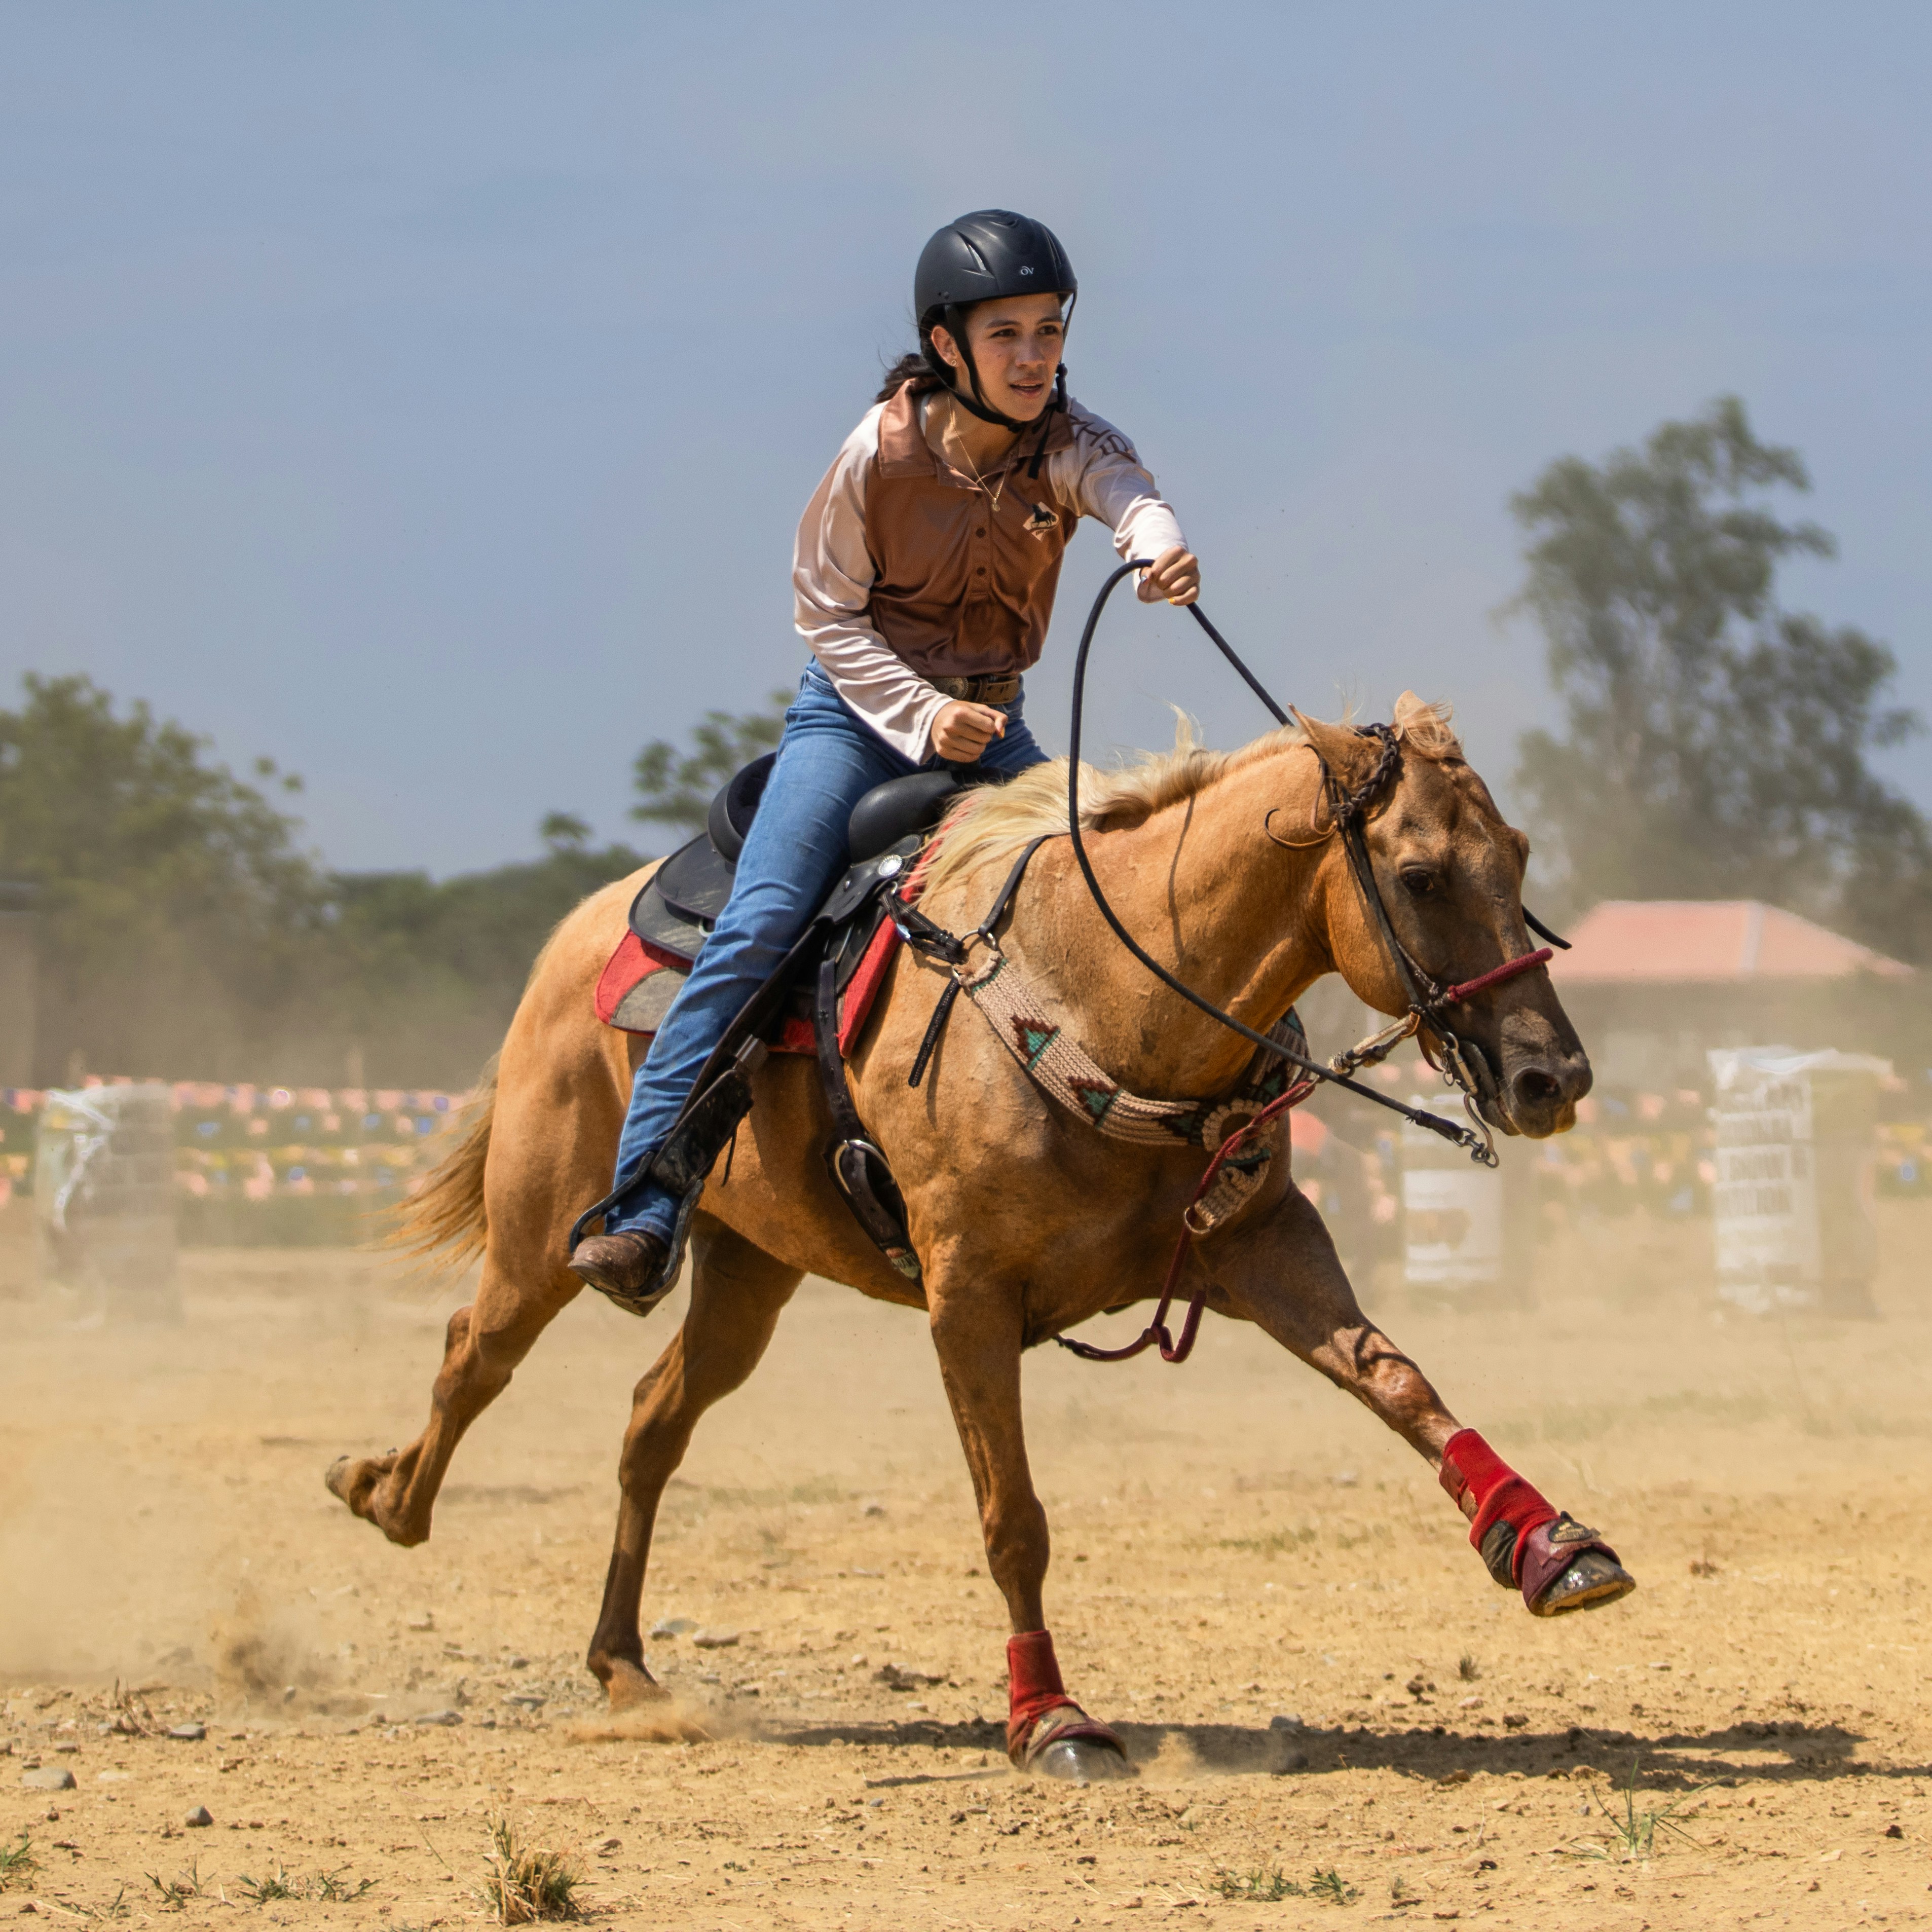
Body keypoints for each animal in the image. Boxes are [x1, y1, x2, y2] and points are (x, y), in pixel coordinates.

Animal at [326, 692, 1626, 1781]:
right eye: (1417, 873)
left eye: (1515, 856)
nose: (1551, 1078)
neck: (1108, 999)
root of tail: (580, 929)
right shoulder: (969, 1301)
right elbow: (1014, 1520)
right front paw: (1050, 1717)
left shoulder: (1267, 1244)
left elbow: (1400, 1383)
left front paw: (1548, 1543)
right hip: (545, 1226)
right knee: (474, 1351)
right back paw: (385, 1494)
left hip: (752, 1271)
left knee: (652, 1419)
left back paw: (624, 1664)